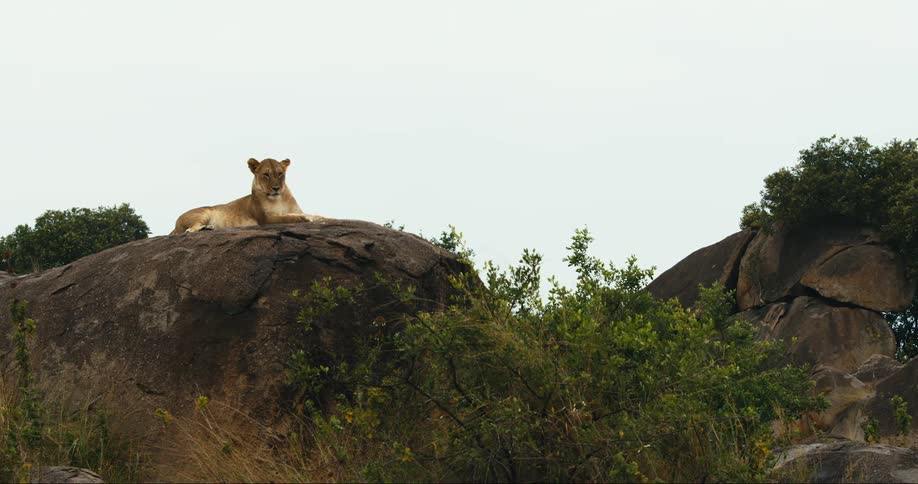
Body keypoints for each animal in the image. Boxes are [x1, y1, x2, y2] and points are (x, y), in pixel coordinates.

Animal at [171, 157, 324, 235]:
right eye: (266, 175)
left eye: (280, 173)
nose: (276, 188)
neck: (279, 199)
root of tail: (175, 223)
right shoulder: (265, 219)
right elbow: (286, 218)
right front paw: (305, 219)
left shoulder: (296, 210)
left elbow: (320, 217)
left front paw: (324, 219)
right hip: (202, 213)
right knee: (189, 230)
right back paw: (202, 228)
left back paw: (209, 228)